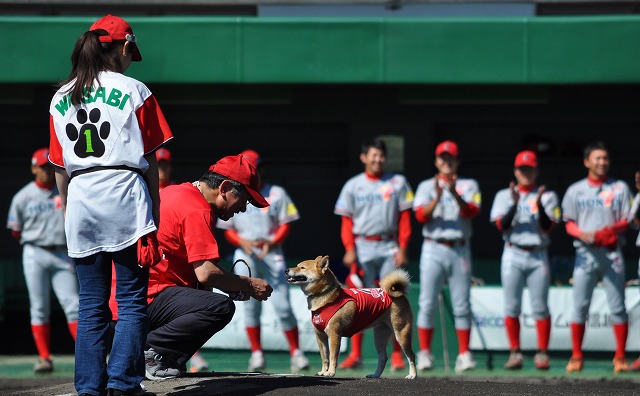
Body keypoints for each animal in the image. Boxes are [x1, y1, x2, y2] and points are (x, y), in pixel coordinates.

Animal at [286, 255, 418, 378]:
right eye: (297, 265)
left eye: (302, 267)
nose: (286, 270)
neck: (326, 296)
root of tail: (398, 293)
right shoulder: (320, 336)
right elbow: (325, 357)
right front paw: (323, 372)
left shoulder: (334, 335)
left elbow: (333, 357)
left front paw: (330, 372)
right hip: (380, 336)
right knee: (383, 357)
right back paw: (375, 375)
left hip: (401, 334)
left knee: (411, 356)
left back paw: (412, 375)